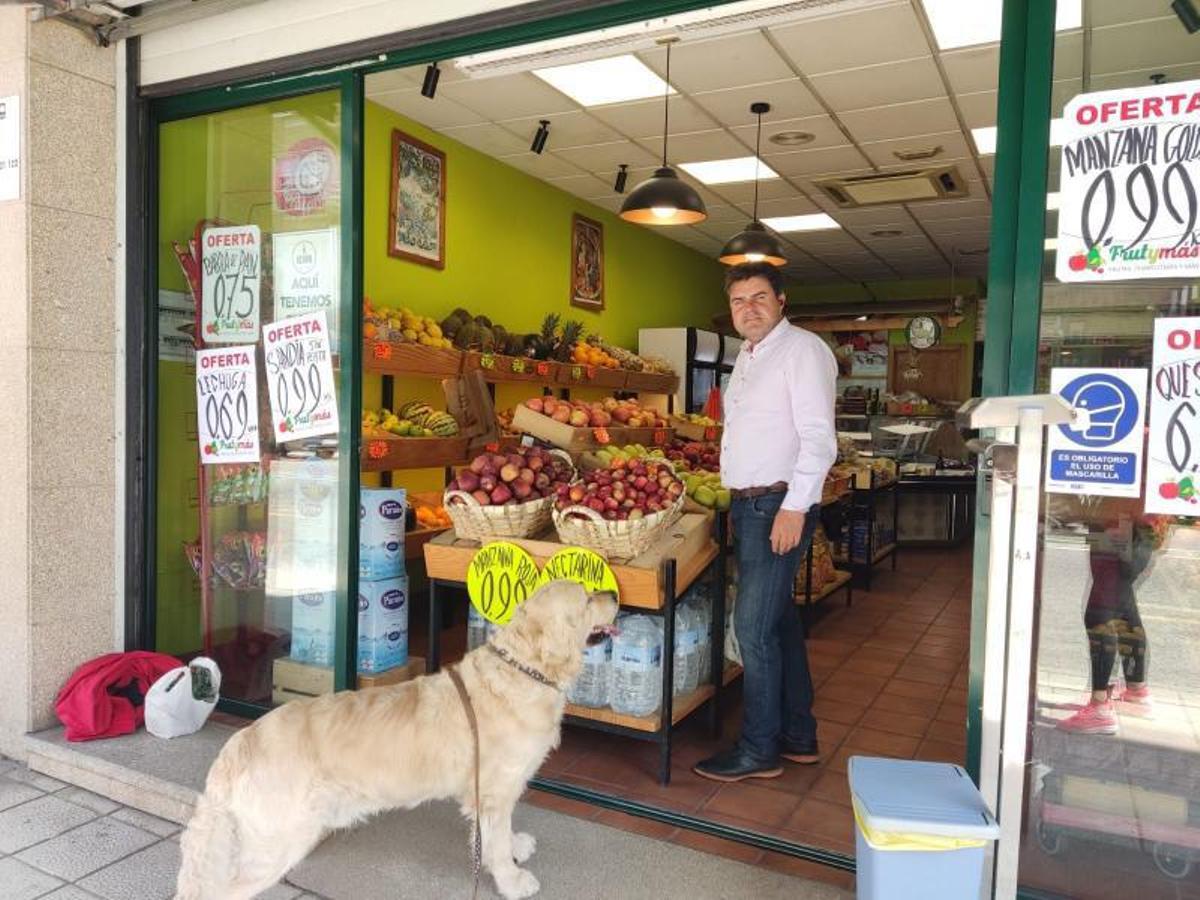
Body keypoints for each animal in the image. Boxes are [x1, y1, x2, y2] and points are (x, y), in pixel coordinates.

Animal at [175, 580, 619, 900]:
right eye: (586, 597)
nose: (615, 594)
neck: (524, 669)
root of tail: (238, 745)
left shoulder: (492, 793)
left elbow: (493, 836)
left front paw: (513, 846)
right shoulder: (494, 792)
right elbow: (493, 842)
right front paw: (512, 880)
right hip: (277, 844)